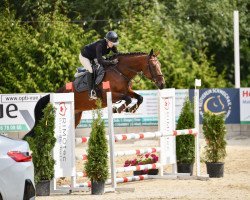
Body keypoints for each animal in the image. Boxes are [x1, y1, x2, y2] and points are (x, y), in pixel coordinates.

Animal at [23, 48, 164, 139]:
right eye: (153, 66)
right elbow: (128, 99)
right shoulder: (109, 95)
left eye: (160, 65)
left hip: (76, 115)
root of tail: (52, 95)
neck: (119, 71)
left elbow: (139, 97)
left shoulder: (126, 90)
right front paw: (118, 109)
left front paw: (132, 109)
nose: (162, 84)